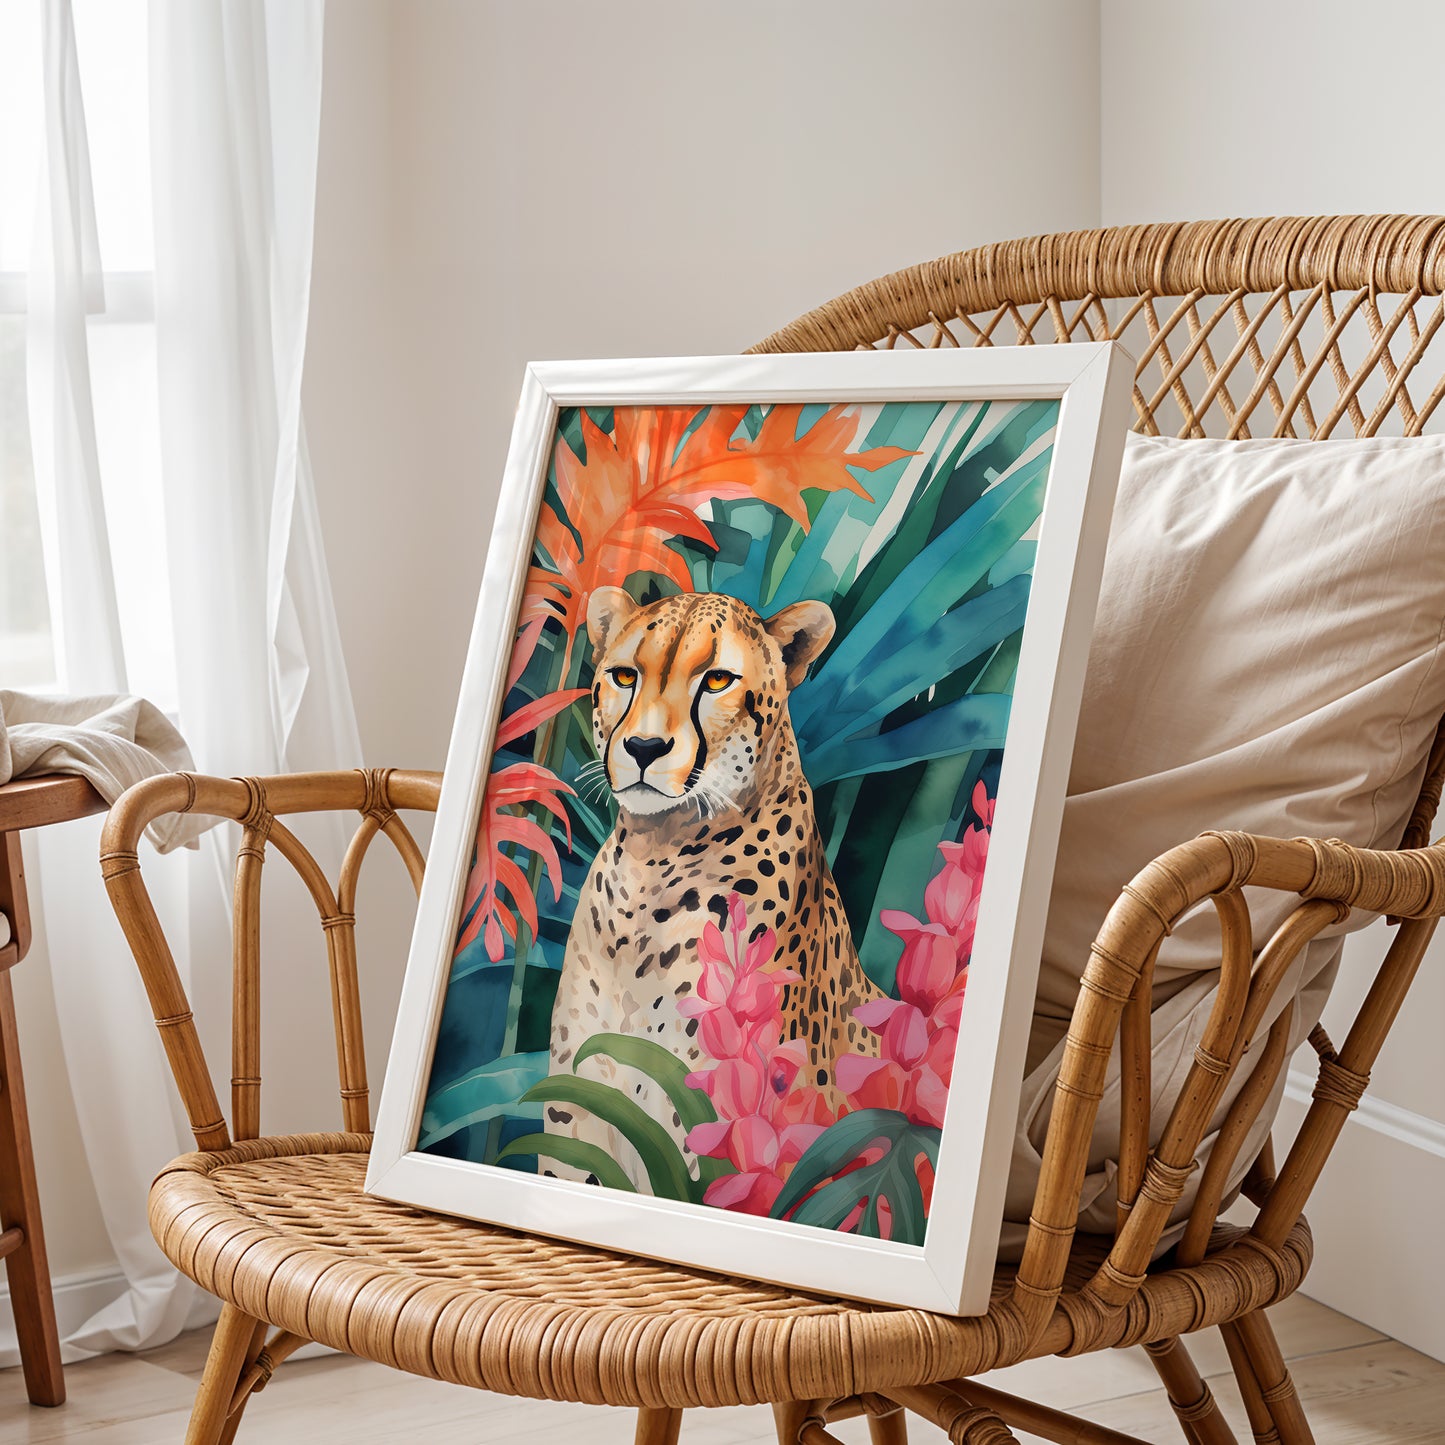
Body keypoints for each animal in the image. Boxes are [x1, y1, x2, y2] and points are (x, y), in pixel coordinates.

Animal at [542, 586, 880, 1193]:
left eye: (717, 680)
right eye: (625, 675)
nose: (644, 746)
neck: (651, 857)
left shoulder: (710, 1128)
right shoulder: (577, 1107)